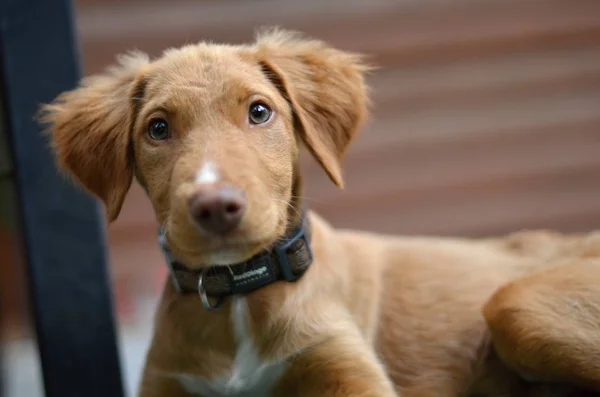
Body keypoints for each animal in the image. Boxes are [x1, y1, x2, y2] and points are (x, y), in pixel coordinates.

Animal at [41, 28, 600, 396]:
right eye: (157, 128)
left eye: (259, 111)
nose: (216, 205)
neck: (241, 294)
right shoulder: (167, 382)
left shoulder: (350, 371)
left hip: (516, 305)